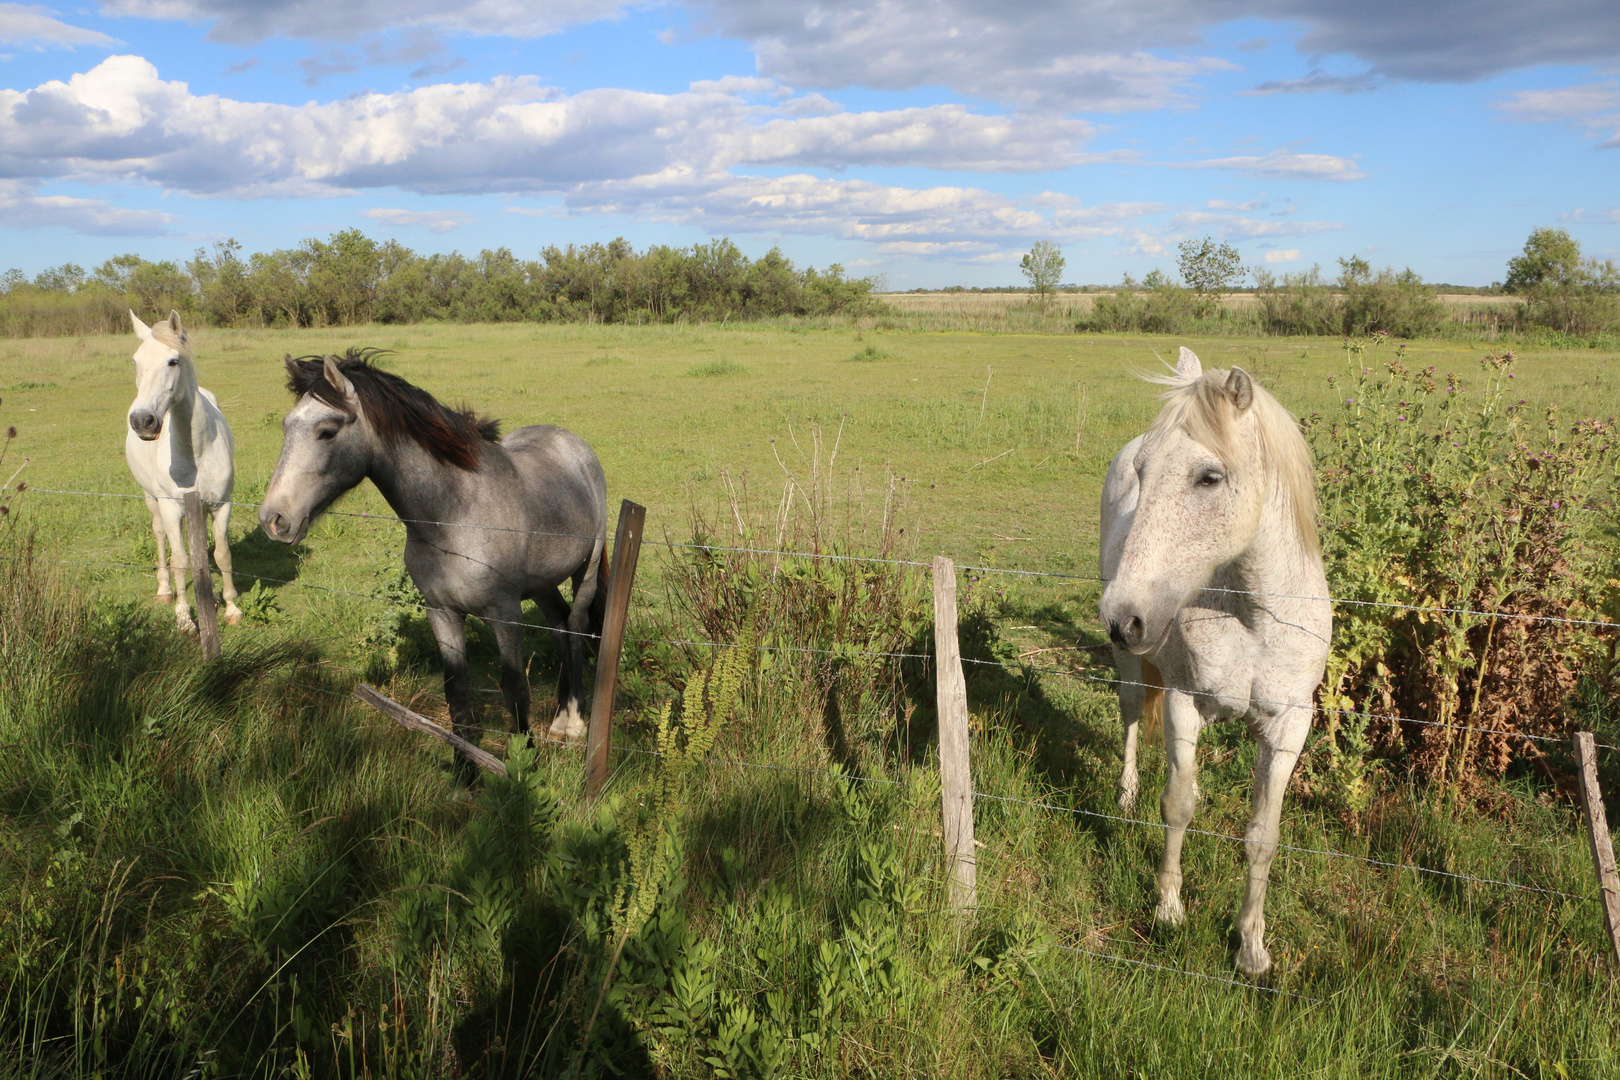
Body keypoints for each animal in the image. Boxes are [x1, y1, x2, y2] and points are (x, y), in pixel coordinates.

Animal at [126, 310, 243, 634]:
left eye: (173, 361)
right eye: (136, 361)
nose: (142, 421)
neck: (196, 451)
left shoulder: (222, 504)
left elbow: (222, 554)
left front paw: (231, 607)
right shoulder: (171, 508)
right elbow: (179, 558)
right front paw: (184, 617)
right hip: (151, 500)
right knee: (160, 537)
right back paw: (165, 590)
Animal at [259, 351, 609, 773]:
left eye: (327, 431)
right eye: (286, 427)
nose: (274, 519)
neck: (453, 515)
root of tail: (572, 443)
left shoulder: (505, 614)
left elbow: (515, 692)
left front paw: (525, 769)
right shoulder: (441, 612)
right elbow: (456, 695)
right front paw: (465, 774)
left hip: (586, 571)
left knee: (575, 627)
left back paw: (574, 722)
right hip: (541, 584)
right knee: (558, 624)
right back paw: (559, 717)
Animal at [1101, 348, 1328, 977]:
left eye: (1209, 477)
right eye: (1143, 471)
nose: (1122, 617)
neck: (1254, 617)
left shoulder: (1289, 726)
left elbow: (1262, 836)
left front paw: (1251, 948)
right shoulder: (1184, 703)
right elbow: (1178, 805)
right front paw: (1168, 910)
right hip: (1132, 673)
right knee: (1132, 715)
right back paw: (1125, 796)